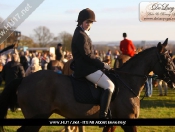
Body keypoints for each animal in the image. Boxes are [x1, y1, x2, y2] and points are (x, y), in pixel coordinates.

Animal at [0, 38, 175, 132]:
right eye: (167, 59)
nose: (174, 80)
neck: (128, 83)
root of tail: (24, 79)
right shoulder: (128, 122)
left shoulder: (112, 124)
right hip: (37, 118)